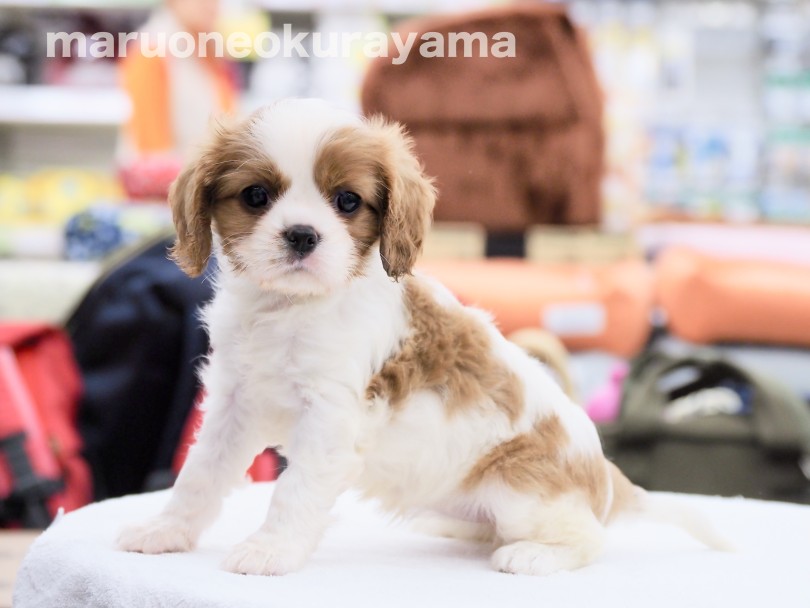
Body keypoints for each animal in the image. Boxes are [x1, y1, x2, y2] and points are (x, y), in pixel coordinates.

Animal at [117, 98, 724, 576]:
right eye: (256, 196)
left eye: (347, 201)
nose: (302, 235)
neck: (290, 306)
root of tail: (606, 477)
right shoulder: (234, 405)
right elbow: (199, 475)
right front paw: (165, 531)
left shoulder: (330, 417)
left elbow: (294, 489)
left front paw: (271, 551)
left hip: (518, 488)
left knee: (590, 538)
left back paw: (531, 554)